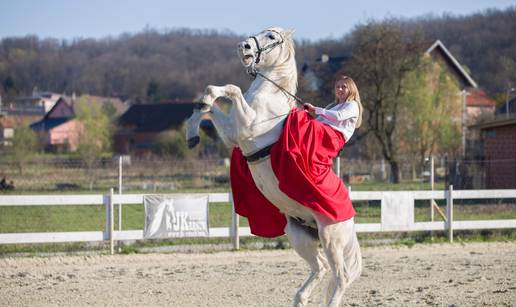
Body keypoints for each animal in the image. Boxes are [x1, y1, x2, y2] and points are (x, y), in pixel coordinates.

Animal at [186, 27, 362, 307]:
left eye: (271, 36)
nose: (243, 47)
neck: (270, 98)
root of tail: (351, 217)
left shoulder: (246, 127)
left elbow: (232, 90)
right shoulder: (232, 133)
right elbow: (210, 107)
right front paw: (194, 129)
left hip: (331, 238)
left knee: (341, 275)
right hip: (299, 235)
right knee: (321, 268)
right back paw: (300, 298)